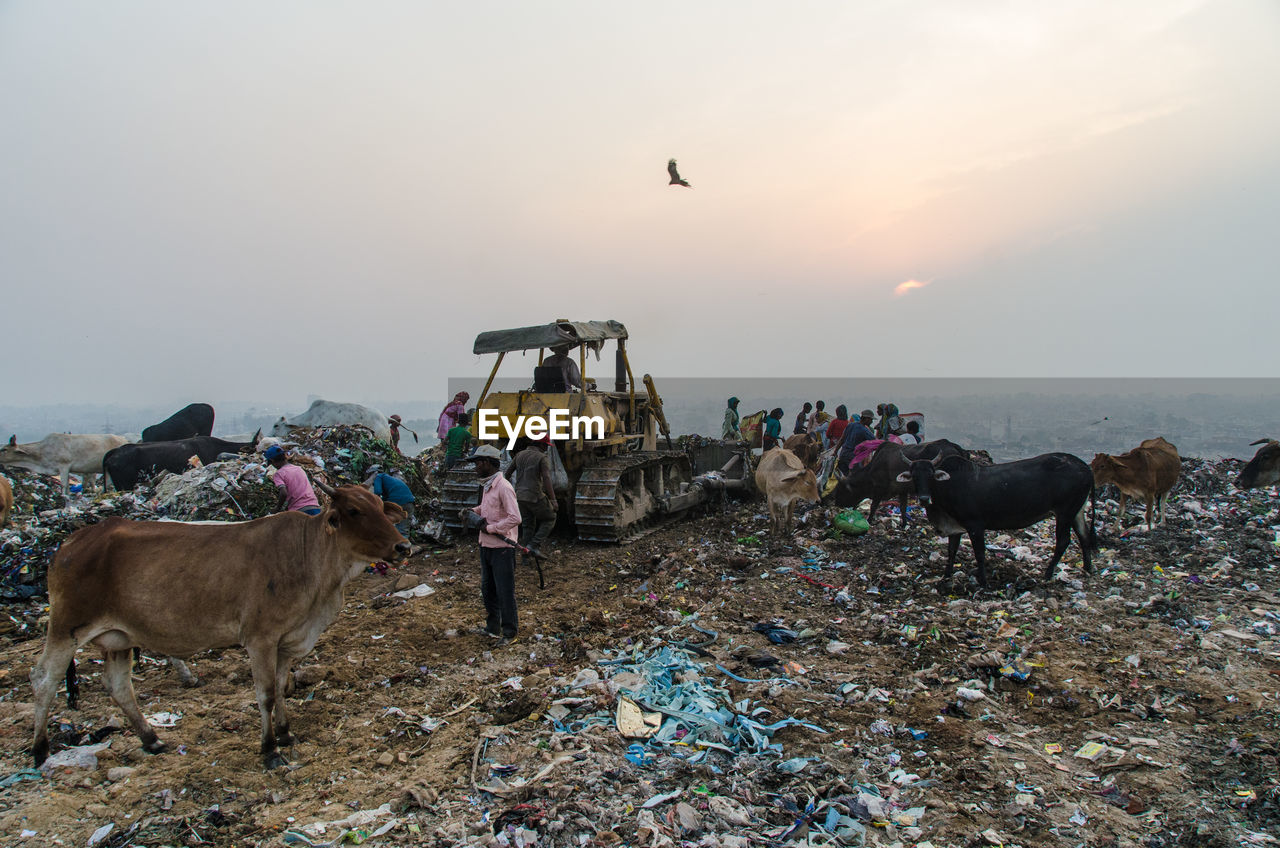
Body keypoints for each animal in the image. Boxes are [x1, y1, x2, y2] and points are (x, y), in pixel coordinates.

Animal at [32, 484, 407, 768]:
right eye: (354, 510)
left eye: (380, 506)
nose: (403, 546)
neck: (311, 557)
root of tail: (69, 542)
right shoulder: (259, 638)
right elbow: (266, 694)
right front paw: (270, 750)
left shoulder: (288, 639)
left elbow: (282, 685)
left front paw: (286, 734)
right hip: (67, 627)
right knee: (44, 679)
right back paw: (40, 750)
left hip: (119, 638)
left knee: (119, 686)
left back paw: (152, 740)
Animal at [829, 440, 967, 527]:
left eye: (841, 489)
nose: (837, 503)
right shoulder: (902, 490)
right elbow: (903, 507)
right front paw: (904, 524)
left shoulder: (879, 487)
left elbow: (874, 506)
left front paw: (869, 520)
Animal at [901, 456, 1090, 589]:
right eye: (914, 476)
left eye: (931, 475)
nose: (924, 499)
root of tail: (1085, 466)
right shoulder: (957, 527)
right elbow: (951, 551)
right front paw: (946, 575)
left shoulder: (975, 525)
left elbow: (980, 553)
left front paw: (983, 582)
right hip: (1076, 512)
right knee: (1084, 536)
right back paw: (1087, 569)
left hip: (1065, 513)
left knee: (1063, 541)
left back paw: (1048, 573)